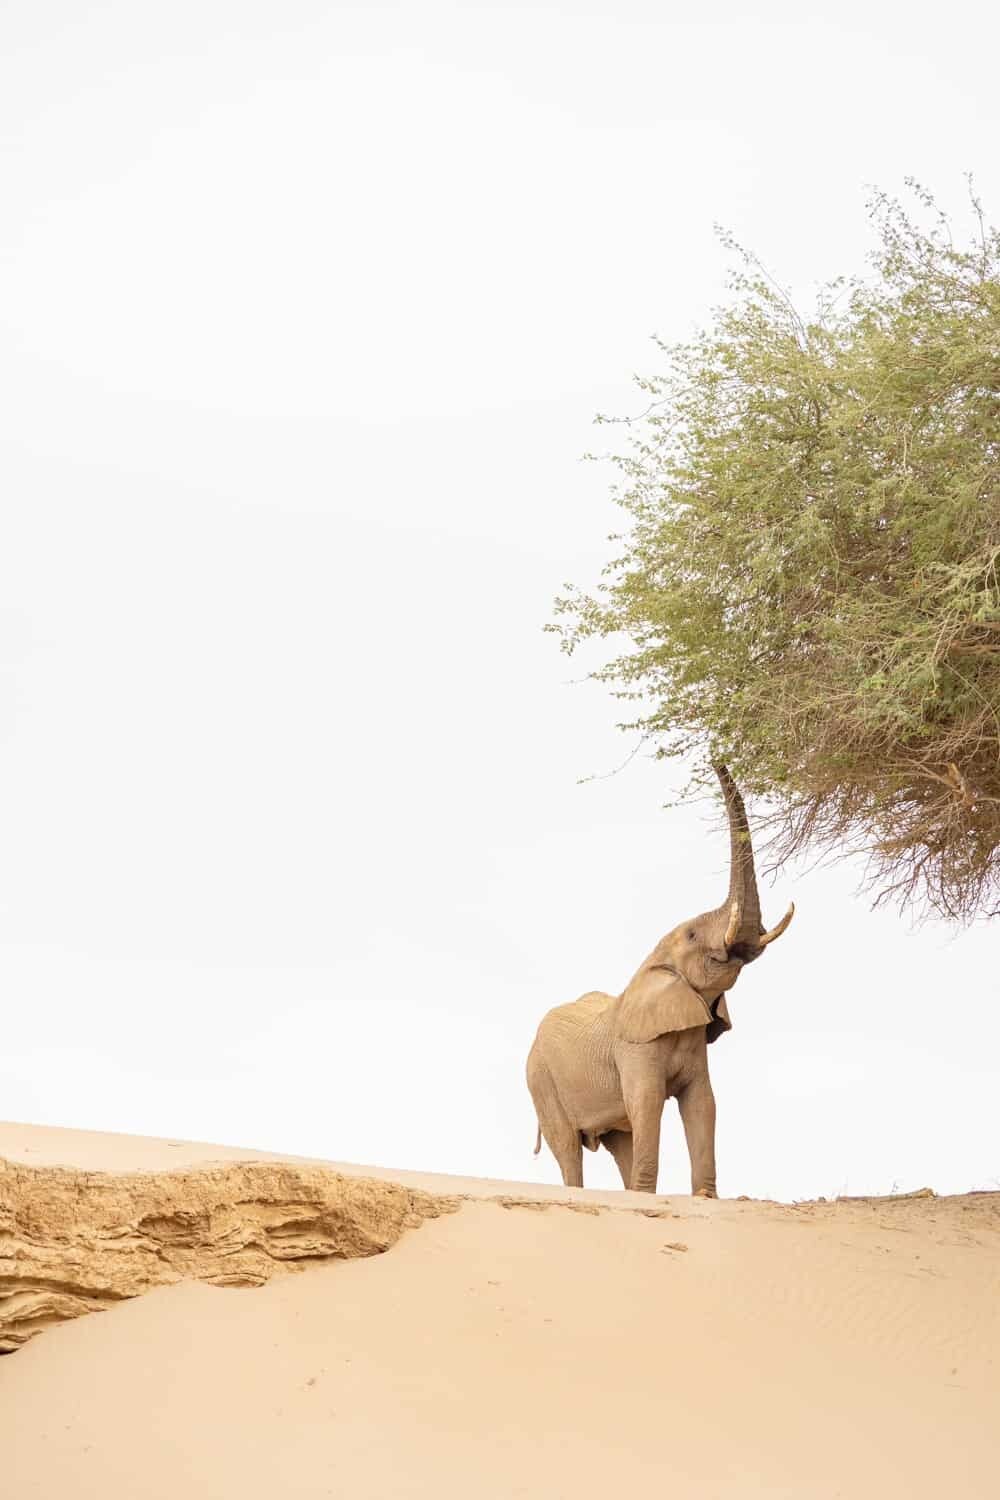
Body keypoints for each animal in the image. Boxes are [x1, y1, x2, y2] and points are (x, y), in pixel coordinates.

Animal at [524, 762, 797, 1194]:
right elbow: (648, 1104)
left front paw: (705, 1198)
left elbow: (703, 1103)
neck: (656, 962)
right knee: (568, 1147)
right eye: (692, 935)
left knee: (620, 1140)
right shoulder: (635, 1047)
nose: (715, 755)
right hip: (541, 1080)